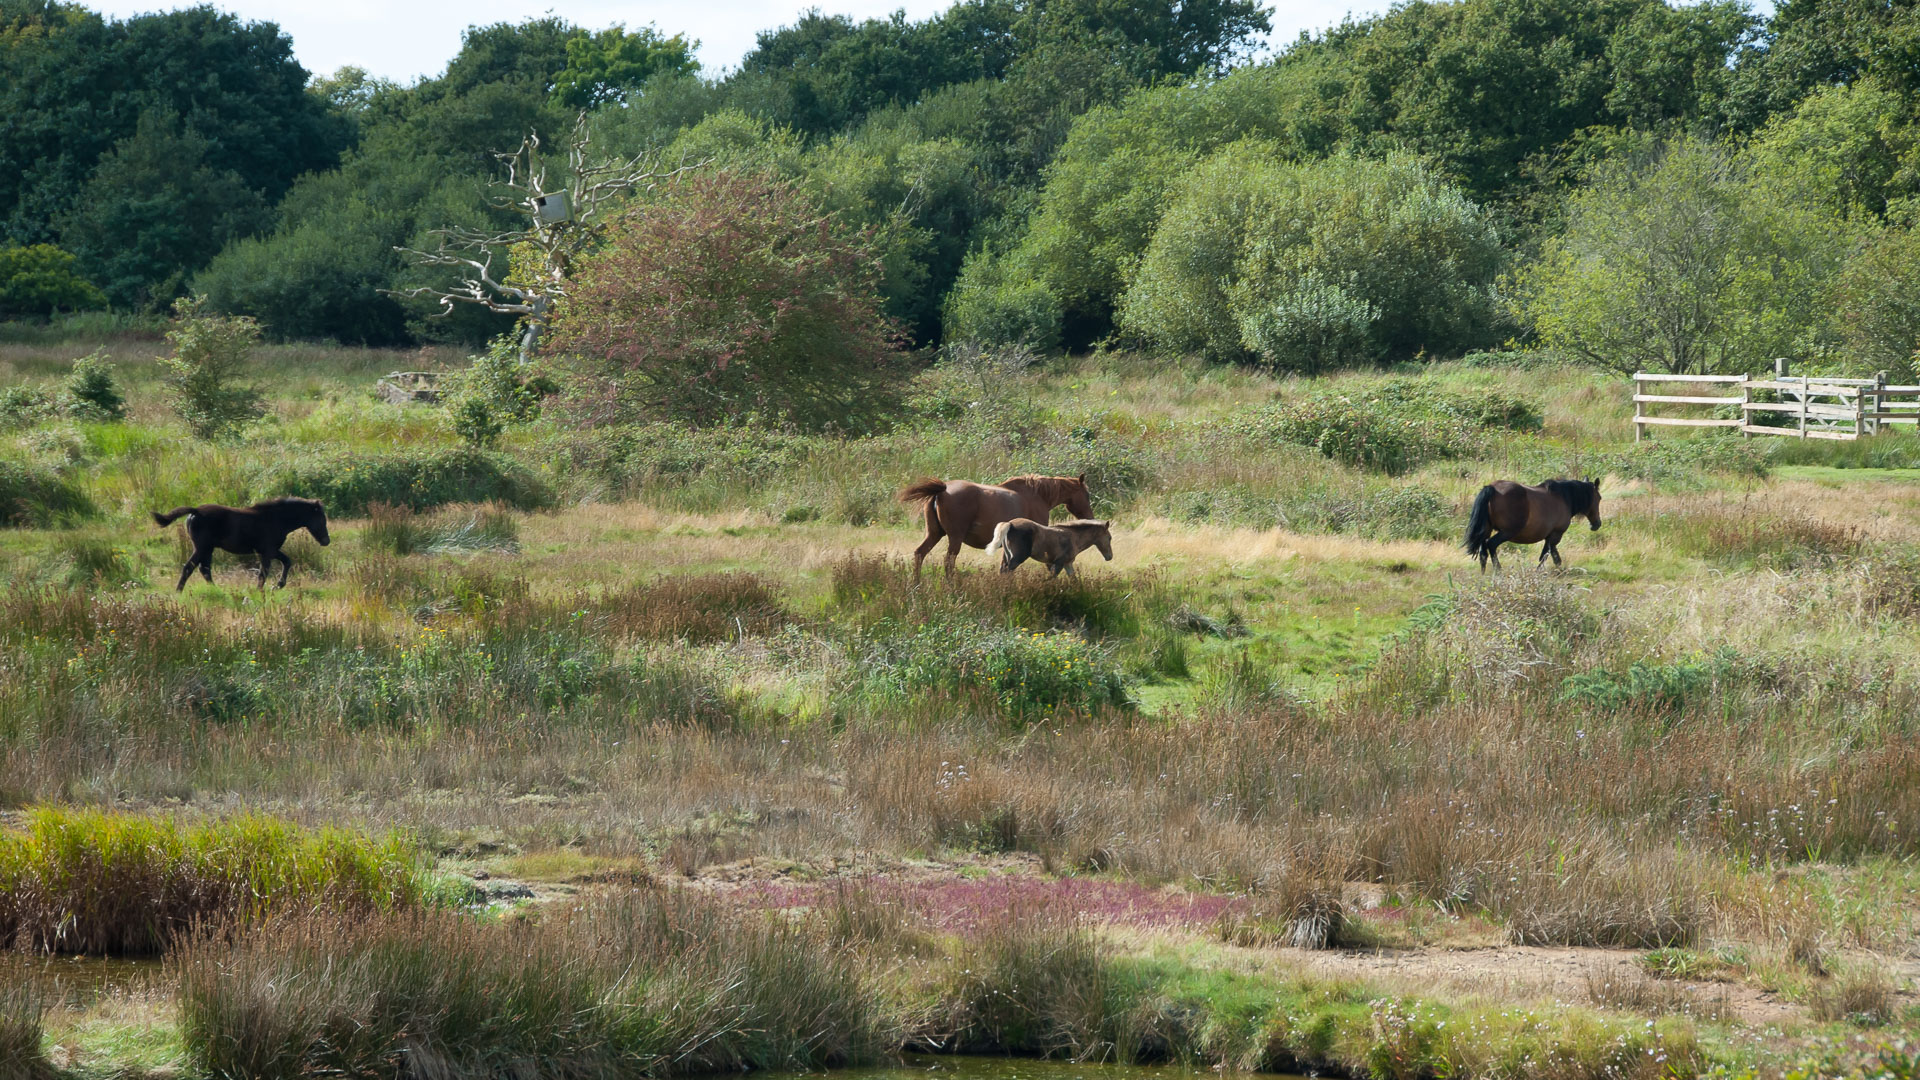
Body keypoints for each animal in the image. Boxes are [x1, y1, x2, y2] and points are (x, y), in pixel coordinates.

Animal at [152, 495, 330, 588]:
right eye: (322, 519)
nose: (326, 541)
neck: (277, 518)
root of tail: (195, 511)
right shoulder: (268, 551)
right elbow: (264, 573)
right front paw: (264, 591)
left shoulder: (267, 551)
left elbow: (286, 561)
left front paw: (278, 585)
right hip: (202, 547)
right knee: (189, 568)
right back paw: (179, 592)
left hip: (208, 549)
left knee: (204, 569)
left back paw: (216, 591)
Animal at [898, 466, 1098, 576]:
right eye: (1087, 495)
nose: (1090, 516)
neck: (1036, 495)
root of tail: (941, 490)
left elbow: (1004, 568)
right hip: (954, 538)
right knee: (948, 562)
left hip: (934, 534)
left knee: (919, 554)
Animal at [1459, 474, 1597, 568]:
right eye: (1599, 498)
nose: (1596, 524)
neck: (1563, 497)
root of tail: (1492, 488)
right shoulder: (1556, 535)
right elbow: (1548, 556)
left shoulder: (1550, 537)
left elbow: (1551, 556)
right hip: (1507, 532)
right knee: (1491, 545)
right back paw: (1498, 571)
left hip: (1486, 531)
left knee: (1483, 553)